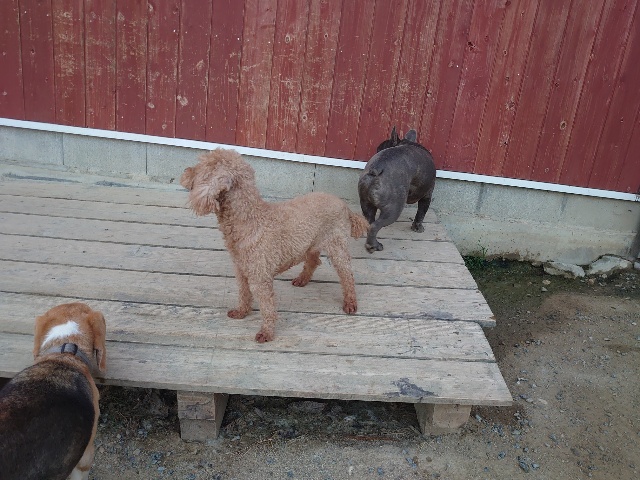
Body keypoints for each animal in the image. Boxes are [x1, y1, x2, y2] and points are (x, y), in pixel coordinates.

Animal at [180, 148, 370, 343]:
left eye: (201, 167)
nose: (184, 172)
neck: (249, 221)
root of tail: (344, 205)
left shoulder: (260, 277)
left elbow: (267, 306)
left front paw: (266, 333)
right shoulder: (241, 270)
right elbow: (243, 293)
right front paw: (241, 312)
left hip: (337, 244)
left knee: (347, 275)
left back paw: (350, 303)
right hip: (311, 242)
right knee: (313, 261)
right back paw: (302, 280)